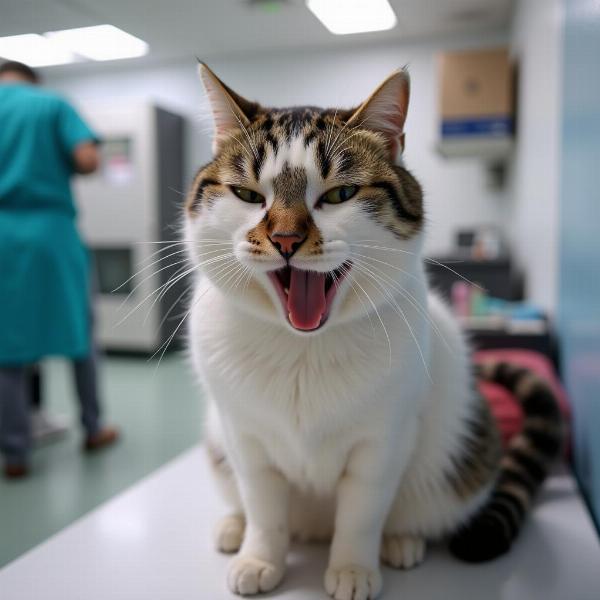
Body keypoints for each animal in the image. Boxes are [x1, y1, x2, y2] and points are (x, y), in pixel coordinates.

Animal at [184, 63, 564, 596]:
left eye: (340, 194)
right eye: (248, 195)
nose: (285, 239)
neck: (303, 350)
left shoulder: (384, 440)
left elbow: (362, 512)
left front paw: (353, 569)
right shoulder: (244, 437)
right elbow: (263, 507)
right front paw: (259, 558)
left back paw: (401, 543)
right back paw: (233, 528)